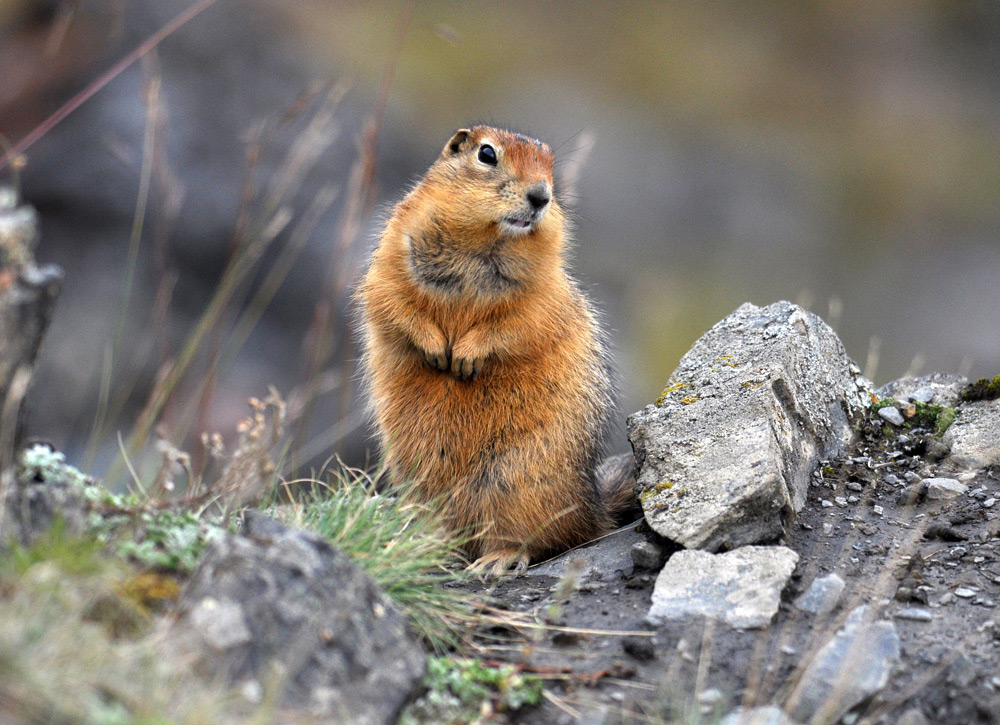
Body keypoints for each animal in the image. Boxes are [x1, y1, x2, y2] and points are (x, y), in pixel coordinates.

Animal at [360, 126, 632, 576]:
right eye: (487, 154)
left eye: (550, 164)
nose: (541, 195)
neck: (484, 239)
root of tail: (593, 508)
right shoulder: (392, 251)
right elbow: (389, 300)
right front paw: (436, 349)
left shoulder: (544, 292)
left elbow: (516, 323)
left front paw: (465, 356)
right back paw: (427, 545)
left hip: (517, 478)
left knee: (533, 535)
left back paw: (496, 559)